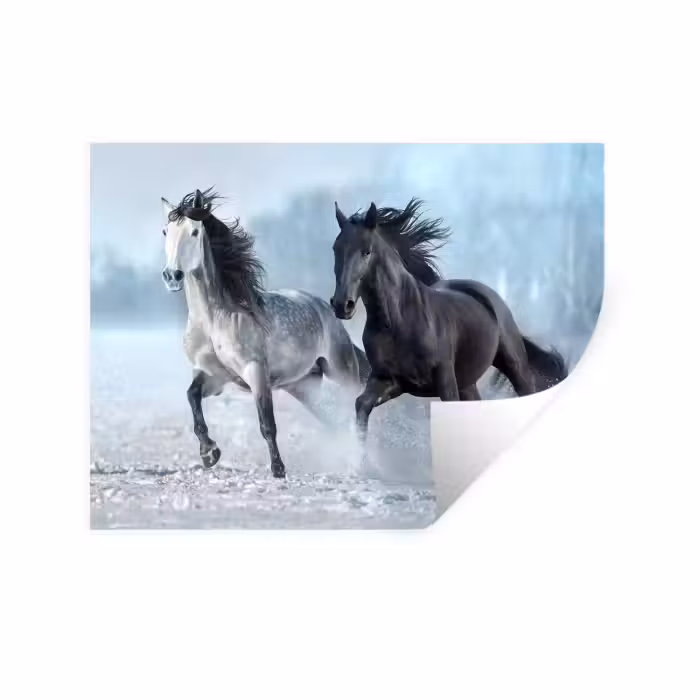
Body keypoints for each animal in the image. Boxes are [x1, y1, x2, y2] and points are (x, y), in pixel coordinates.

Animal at [161, 188, 370, 478]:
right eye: (165, 231)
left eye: (194, 231)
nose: (172, 276)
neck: (215, 321)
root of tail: (325, 309)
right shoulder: (213, 376)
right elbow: (192, 398)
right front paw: (209, 453)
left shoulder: (256, 372)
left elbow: (266, 423)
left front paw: (278, 469)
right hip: (303, 386)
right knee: (334, 420)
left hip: (342, 372)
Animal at [330, 197, 568, 448]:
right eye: (336, 249)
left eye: (367, 251)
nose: (342, 305)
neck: (398, 322)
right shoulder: (389, 380)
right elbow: (361, 404)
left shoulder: (444, 382)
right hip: (467, 383)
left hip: (514, 365)